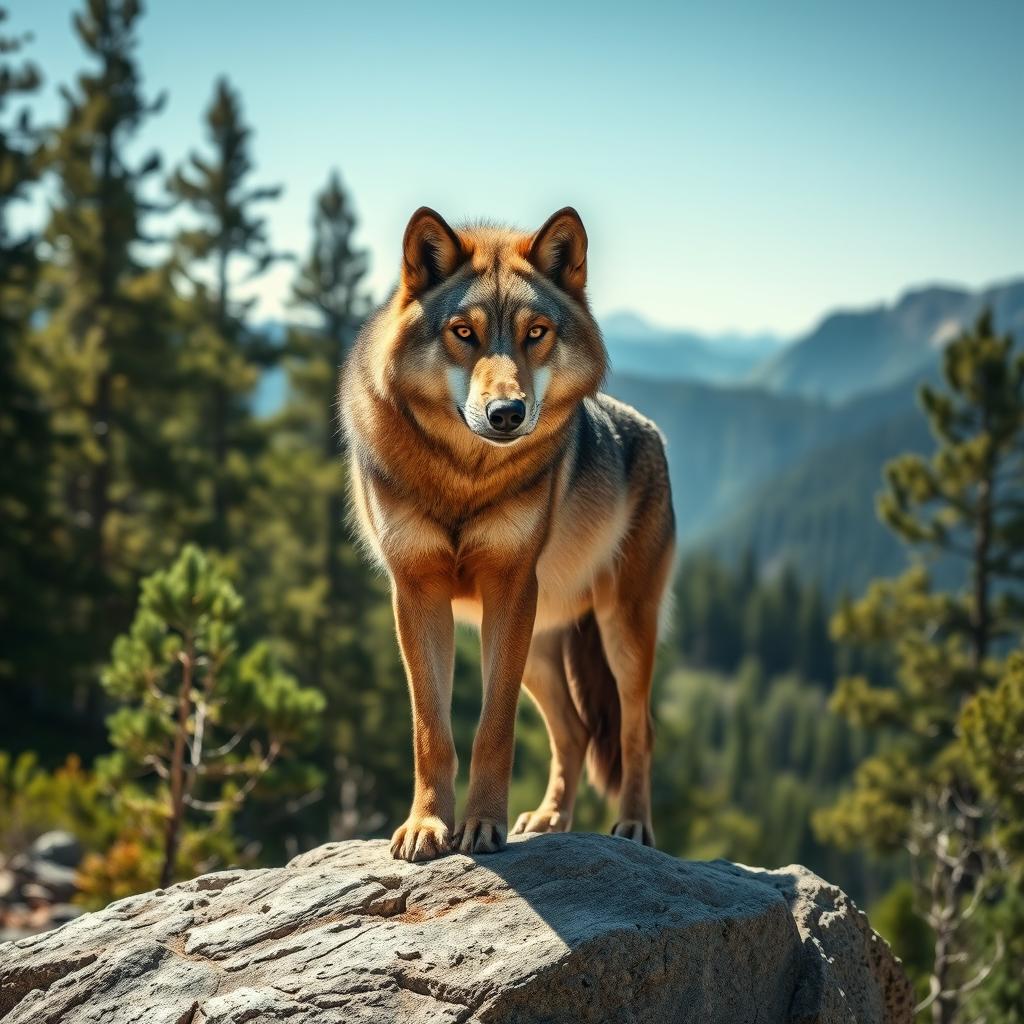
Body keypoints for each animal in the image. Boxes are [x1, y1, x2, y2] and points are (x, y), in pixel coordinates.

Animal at [340, 206, 675, 861]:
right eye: (463, 333)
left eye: (536, 332)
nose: (506, 414)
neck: (463, 478)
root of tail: (649, 431)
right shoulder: (416, 592)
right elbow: (431, 730)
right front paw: (426, 826)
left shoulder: (510, 588)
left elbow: (492, 729)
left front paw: (482, 827)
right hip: (542, 646)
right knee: (574, 732)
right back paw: (550, 820)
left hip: (618, 629)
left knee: (636, 729)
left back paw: (633, 826)